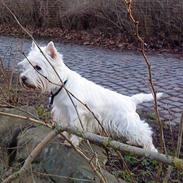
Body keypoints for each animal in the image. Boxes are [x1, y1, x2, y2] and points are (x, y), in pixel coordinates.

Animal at [18, 41, 162, 152]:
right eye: (26, 65)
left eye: (38, 67)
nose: (23, 78)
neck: (63, 83)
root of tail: (130, 100)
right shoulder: (63, 111)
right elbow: (65, 126)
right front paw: (63, 135)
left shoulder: (76, 113)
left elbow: (76, 129)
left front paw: (72, 142)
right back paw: (133, 143)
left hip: (128, 121)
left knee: (144, 132)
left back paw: (151, 150)